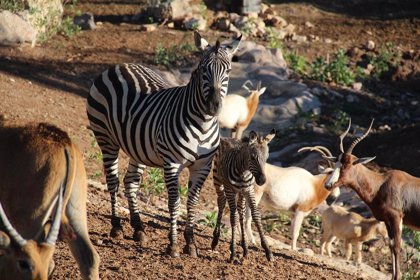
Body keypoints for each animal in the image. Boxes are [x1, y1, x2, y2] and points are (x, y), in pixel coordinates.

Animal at [87, 31, 241, 258]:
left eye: (228, 71)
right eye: (203, 70)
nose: (214, 106)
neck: (203, 124)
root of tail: (120, 66)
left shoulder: (202, 166)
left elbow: (192, 202)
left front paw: (191, 243)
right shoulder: (172, 164)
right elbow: (174, 202)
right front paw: (173, 245)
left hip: (137, 147)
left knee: (130, 182)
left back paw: (138, 228)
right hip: (106, 139)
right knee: (113, 181)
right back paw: (116, 226)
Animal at [210, 130, 276, 262]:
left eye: (266, 158)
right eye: (253, 157)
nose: (262, 181)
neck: (244, 172)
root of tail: (228, 138)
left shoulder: (248, 190)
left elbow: (255, 214)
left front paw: (268, 251)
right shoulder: (230, 190)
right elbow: (233, 217)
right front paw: (233, 252)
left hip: (240, 193)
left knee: (241, 210)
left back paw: (245, 247)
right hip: (218, 180)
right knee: (221, 202)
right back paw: (215, 240)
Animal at [324, 118, 420, 280]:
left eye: (346, 165)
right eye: (336, 162)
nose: (328, 184)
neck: (381, 184)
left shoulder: (396, 217)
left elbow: (397, 246)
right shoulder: (387, 220)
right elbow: (391, 245)